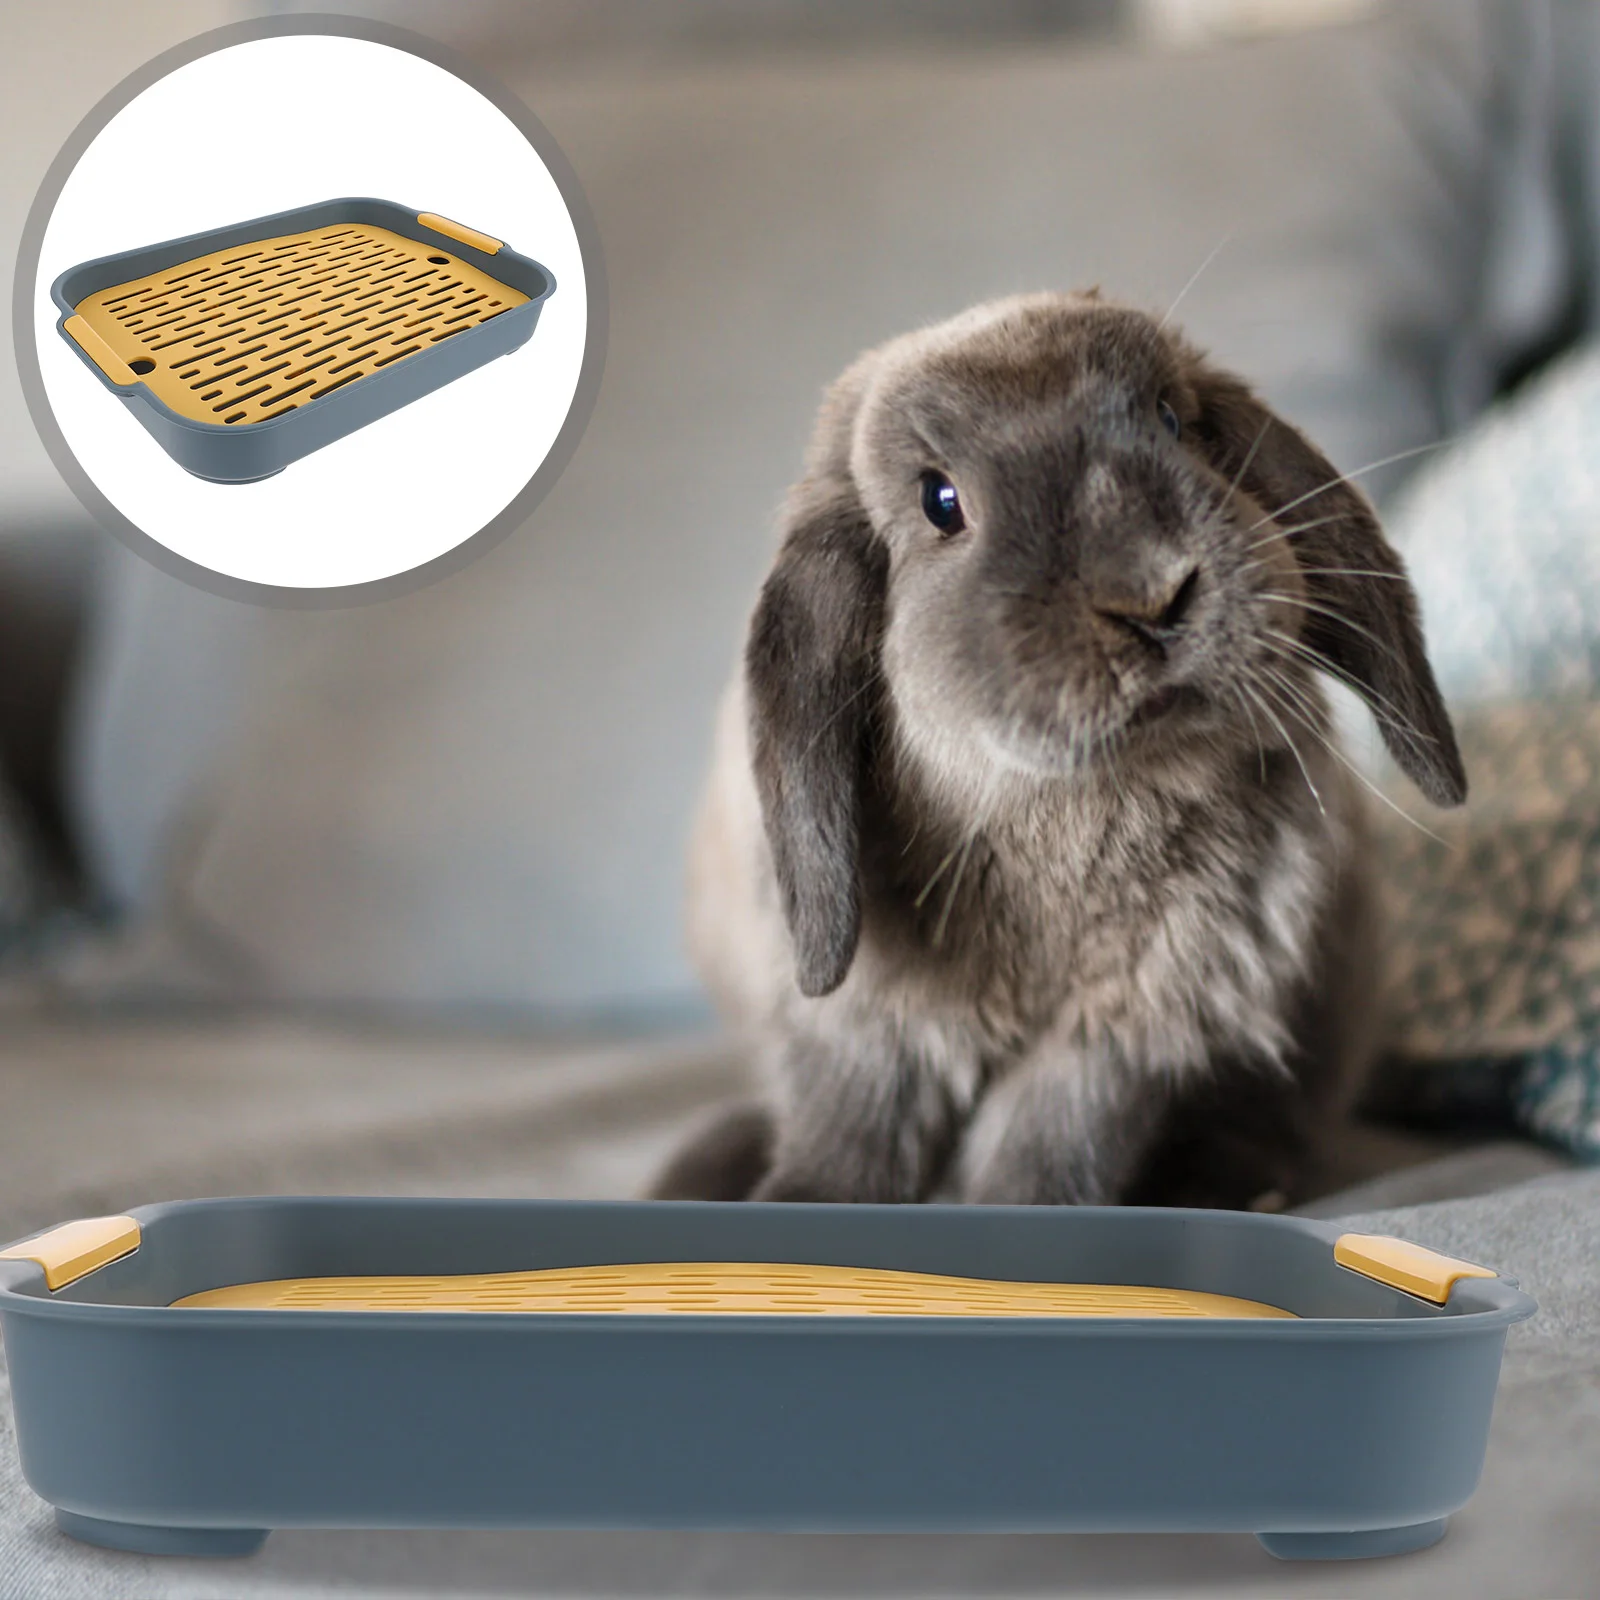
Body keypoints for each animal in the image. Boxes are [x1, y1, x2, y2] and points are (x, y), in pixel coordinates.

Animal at [652, 291, 1466, 1211]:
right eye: (940, 502)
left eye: (1171, 420)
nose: (1152, 593)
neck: (1066, 813)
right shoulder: (865, 1027)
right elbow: (852, 1128)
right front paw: (803, 1204)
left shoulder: (1121, 1033)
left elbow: (1050, 1142)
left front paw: (1024, 1217)